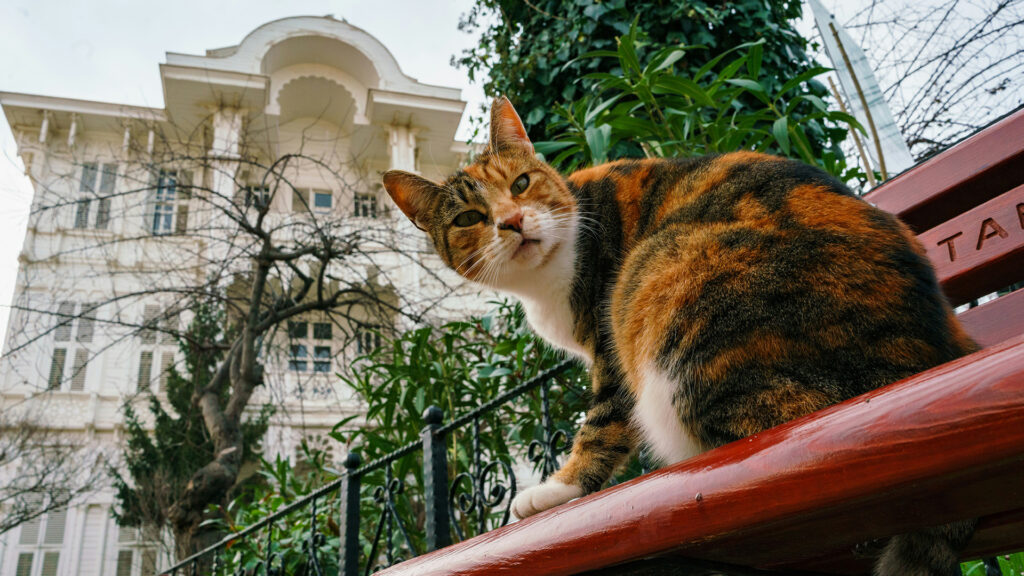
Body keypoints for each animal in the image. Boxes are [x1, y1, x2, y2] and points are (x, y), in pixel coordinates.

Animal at [382, 96, 974, 569]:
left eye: (521, 183)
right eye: (467, 219)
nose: (511, 222)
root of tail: (925, 354)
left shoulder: (610, 338)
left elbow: (602, 421)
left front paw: (555, 490)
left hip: (661, 278)